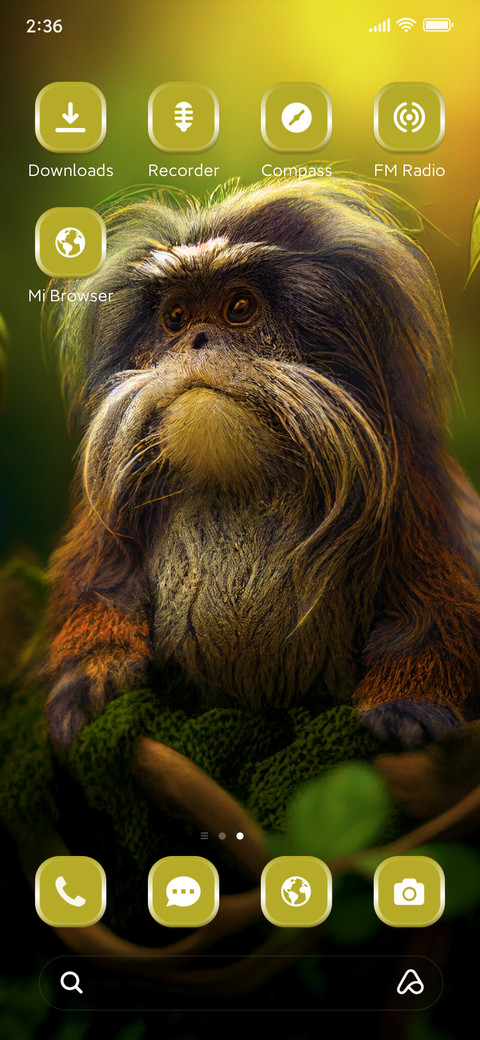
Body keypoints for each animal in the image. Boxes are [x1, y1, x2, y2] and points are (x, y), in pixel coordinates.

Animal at [41, 178, 480, 751]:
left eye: (239, 307)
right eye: (176, 318)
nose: (197, 340)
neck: (237, 480)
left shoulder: (412, 483)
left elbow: (432, 615)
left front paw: (409, 701)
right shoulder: (109, 511)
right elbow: (103, 586)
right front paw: (93, 670)